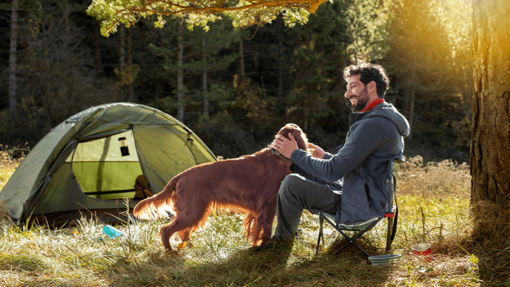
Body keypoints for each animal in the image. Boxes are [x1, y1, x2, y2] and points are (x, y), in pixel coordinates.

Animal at [133, 124, 308, 252]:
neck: (278, 156)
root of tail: (179, 177)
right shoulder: (268, 206)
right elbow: (265, 229)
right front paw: (264, 246)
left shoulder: (259, 210)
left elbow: (255, 229)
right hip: (192, 211)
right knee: (166, 230)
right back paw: (170, 251)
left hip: (196, 211)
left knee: (183, 231)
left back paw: (188, 246)